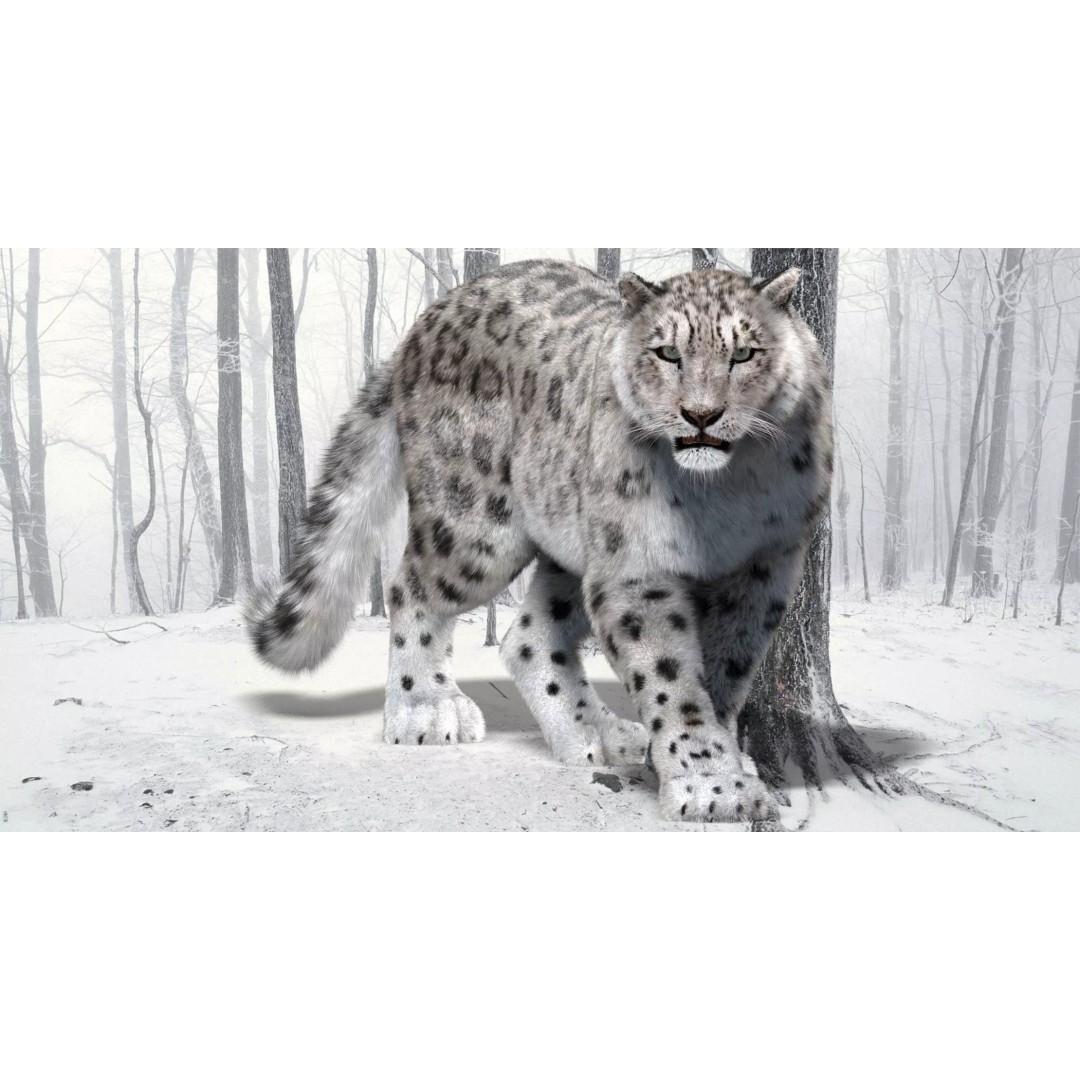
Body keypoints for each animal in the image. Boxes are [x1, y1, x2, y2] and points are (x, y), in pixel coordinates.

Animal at [244, 258, 833, 824]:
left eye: (744, 354)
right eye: (667, 352)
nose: (702, 415)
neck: (724, 493)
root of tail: (426, 321)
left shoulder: (762, 568)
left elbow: (726, 672)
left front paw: (719, 761)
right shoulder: (637, 565)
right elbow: (670, 677)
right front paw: (712, 786)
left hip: (573, 540)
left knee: (528, 637)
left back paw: (599, 736)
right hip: (477, 529)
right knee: (410, 585)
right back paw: (427, 710)